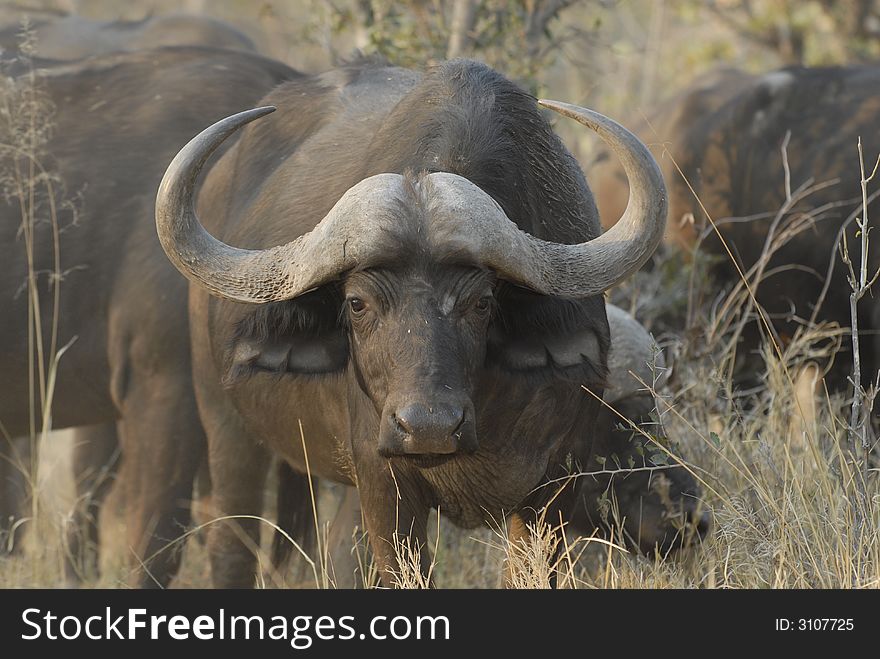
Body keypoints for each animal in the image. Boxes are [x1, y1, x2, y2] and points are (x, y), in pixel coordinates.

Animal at [155, 59, 684, 588]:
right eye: (356, 304)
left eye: (482, 303)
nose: (429, 427)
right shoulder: (384, 484)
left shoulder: (552, 486)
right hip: (226, 425)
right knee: (231, 543)